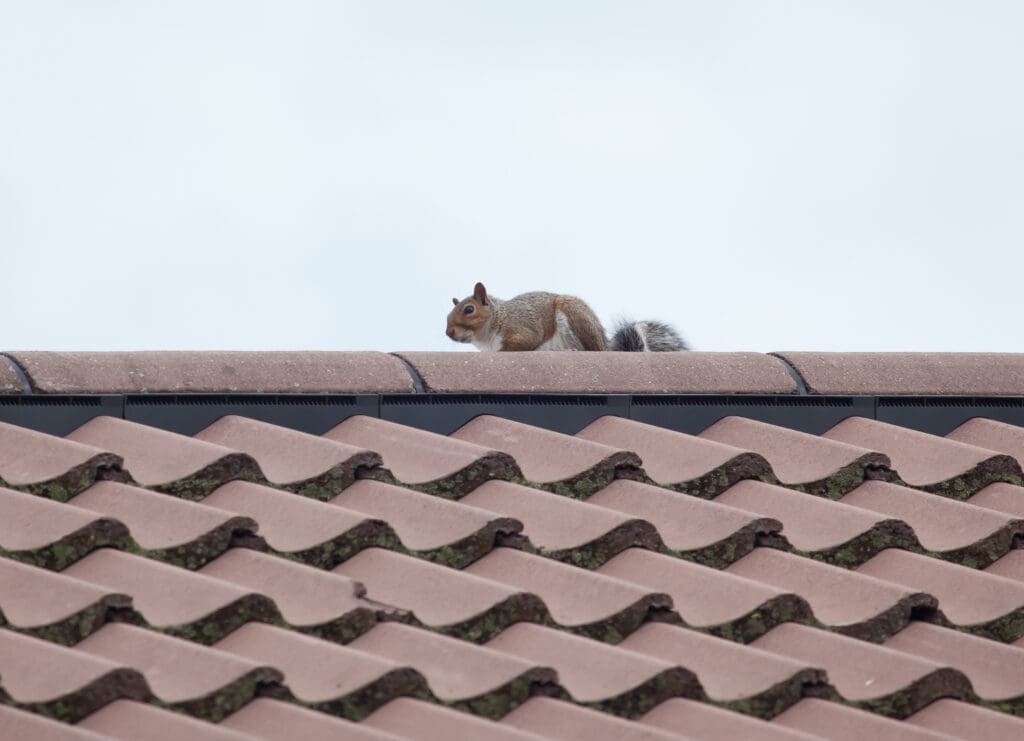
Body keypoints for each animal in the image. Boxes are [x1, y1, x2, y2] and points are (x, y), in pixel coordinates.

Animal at [446, 282, 688, 352]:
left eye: (469, 310)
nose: (448, 332)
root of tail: (605, 344)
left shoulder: (521, 328)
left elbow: (525, 341)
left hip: (574, 316)